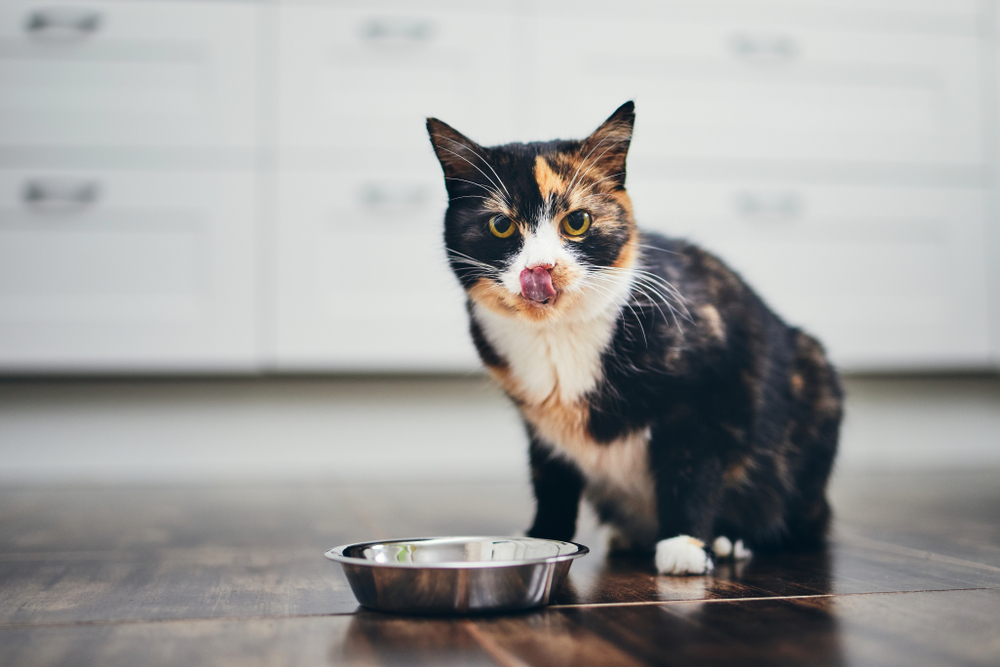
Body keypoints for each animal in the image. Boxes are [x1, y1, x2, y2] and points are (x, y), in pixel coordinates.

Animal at [426, 102, 840, 576]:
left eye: (577, 221)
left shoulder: (706, 389)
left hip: (812, 384)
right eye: (500, 225)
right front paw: (542, 537)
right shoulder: (540, 425)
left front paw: (685, 545)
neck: (557, 335)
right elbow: (551, 479)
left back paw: (732, 538)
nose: (540, 268)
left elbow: (691, 467)